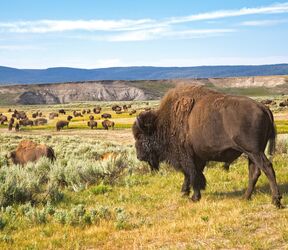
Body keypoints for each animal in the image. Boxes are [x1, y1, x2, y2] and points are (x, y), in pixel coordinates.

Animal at [133, 85, 284, 208]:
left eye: (140, 136)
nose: (139, 156)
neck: (164, 123)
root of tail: (263, 107)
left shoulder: (188, 157)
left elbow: (192, 174)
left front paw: (194, 197)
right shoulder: (198, 157)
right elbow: (192, 175)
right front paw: (185, 193)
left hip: (254, 151)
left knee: (267, 168)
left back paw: (276, 200)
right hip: (251, 153)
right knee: (254, 172)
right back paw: (245, 197)